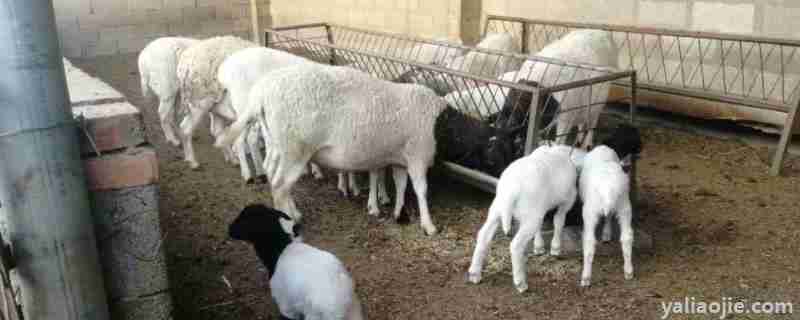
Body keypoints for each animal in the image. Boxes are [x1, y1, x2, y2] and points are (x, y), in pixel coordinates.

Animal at [177, 34, 258, 170]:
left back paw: (232, 158)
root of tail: (184, 63)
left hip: (216, 105)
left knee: (217, 131)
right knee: (186, 129)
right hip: (200, 101)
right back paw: (193, 162)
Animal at [216, 62, 446, 235]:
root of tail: (262, 94)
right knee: (280, 185)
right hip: (295, 149)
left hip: (279, 144)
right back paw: (290, 222)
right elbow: (420, 189)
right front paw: (429, 226)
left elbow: (401, 185)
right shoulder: (418, 155)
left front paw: (399, 213)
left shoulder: (401, 157)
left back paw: (292, 213)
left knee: (273, 177)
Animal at [462, 144, 580, 294]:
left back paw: (475, 273)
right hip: (528, 213)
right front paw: (555, 248)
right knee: (516, 245)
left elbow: (541, 226)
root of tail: (512, 189)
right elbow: (559, 221)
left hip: (498, 208)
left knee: (484, 235)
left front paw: (539, 246)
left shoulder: (539, 209)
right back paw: (521, 283)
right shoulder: (567, 200)